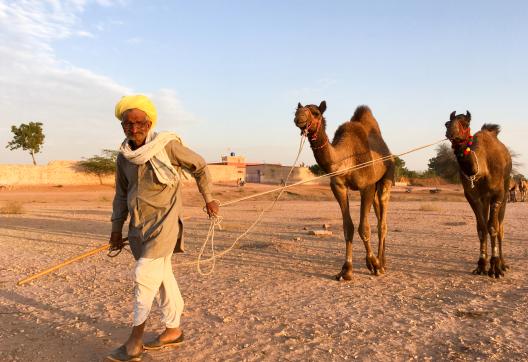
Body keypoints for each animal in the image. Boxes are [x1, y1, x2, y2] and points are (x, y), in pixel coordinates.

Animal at [294, 101, 394, 280]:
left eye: (316, 112)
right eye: (297, 109)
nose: (299, 116)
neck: (347, 159)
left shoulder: (366, 186)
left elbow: (364, 228)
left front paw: (374, 264)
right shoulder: (338, 187)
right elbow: (348, 227)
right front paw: (346, 270)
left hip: (386, 177)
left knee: (382, 224)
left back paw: (381, 264)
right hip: (376, 187)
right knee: (379, 217)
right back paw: (382, 261)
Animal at [446, 110, 512, 278]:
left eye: (465, 123)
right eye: (447, 123)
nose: (450, 133)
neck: (483, 168)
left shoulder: (498, 194)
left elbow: (493, 227)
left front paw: (495, 268)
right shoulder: (472, 196)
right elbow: (481, 228)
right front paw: (481, 266)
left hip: (506, 188)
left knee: (500, 226)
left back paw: (503, 264)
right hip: (485, 199)